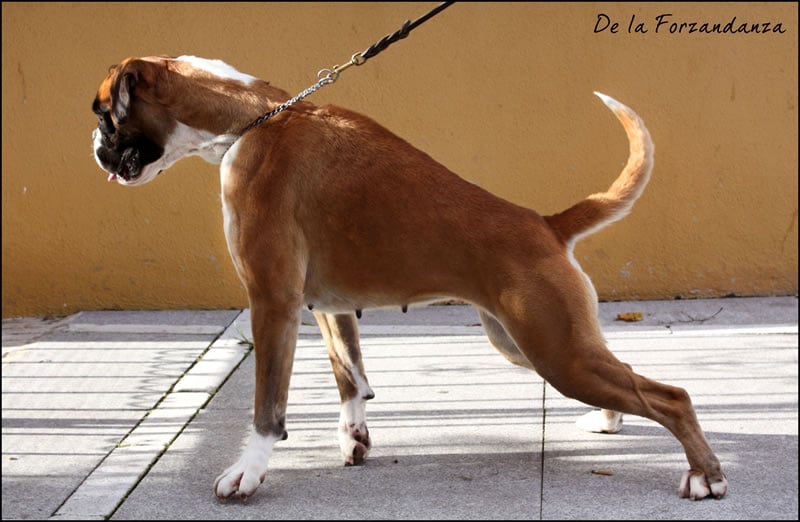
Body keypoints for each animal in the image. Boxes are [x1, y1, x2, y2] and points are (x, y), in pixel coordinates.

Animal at [92, 55, 727, 501]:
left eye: (103, 114)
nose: (95, 148)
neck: (251, 119)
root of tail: (545, 223)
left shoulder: (272, 301)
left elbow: (268, 404)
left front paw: (248, 472)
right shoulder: (328, 307)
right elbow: (351, 379)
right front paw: (354, 440)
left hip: (556, 352)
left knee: (671, 395)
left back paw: (706, 477)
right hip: (532, 342)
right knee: (631, 379)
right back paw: (611, 422)